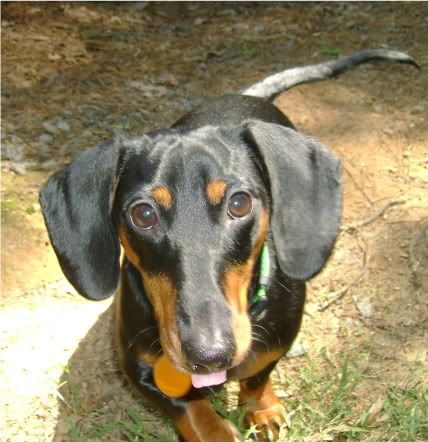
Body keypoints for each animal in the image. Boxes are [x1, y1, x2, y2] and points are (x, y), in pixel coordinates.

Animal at [39, 50, 414, 440]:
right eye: (143, 214)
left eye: (239, 203)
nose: (208, 355)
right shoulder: (138, 366)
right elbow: (189, 408)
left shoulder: (275, 344)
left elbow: (257, 375)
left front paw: (261, 408)